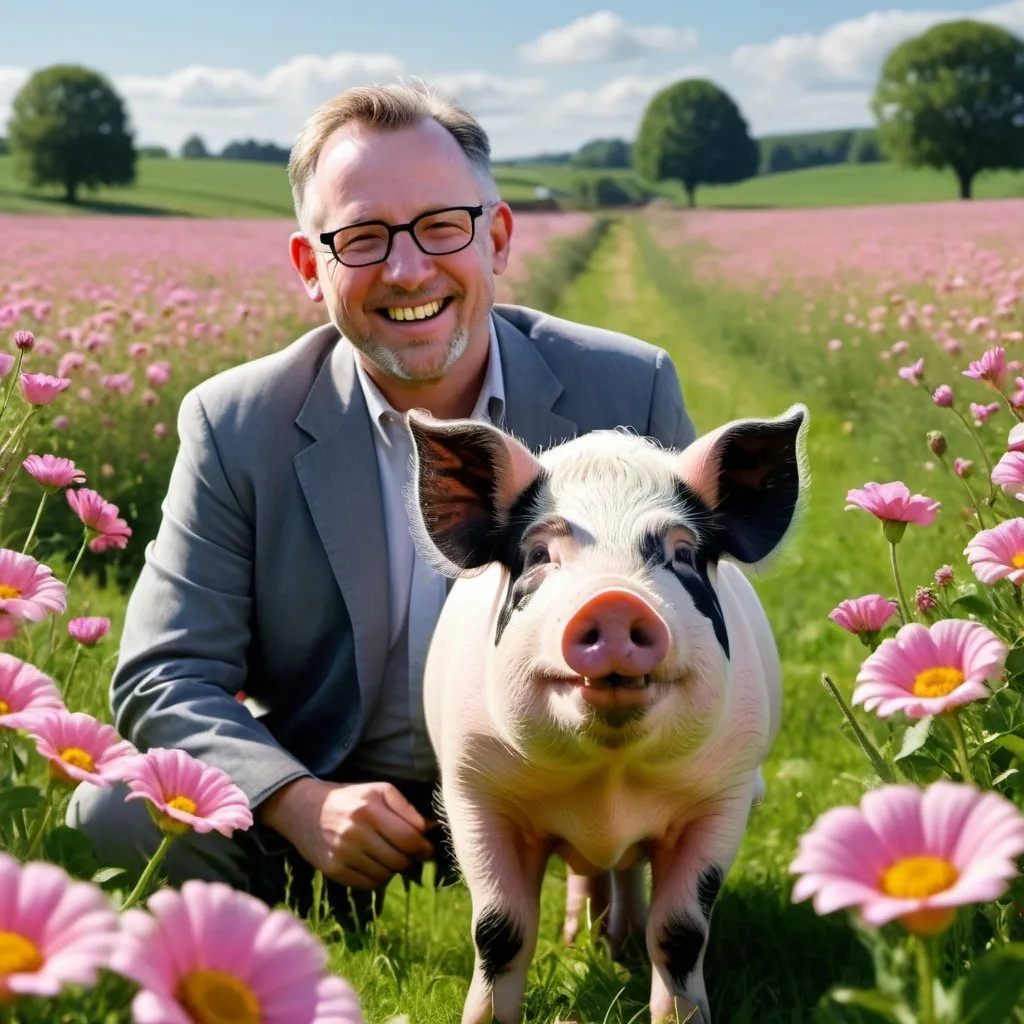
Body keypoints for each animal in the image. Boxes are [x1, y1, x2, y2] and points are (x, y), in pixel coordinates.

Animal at [399, 403, 806, 1024]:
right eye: (539, 554)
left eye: (682, 553)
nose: (615, 600)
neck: (607, 779)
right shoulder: (474, 790)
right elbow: (499, 931)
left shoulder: (723, 794)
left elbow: (682, 932)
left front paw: (679, 1013)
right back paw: (584, 942)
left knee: (627, 868)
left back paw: (623, 943)